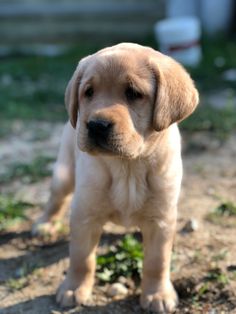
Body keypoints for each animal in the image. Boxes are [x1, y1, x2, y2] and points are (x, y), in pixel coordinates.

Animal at [34, 43, 198, 312]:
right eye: (88, 92)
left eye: (133, 93)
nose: (96, 125)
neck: (128, 166)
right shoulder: (84, 215)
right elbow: (81, 258)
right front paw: (73, 288)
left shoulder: (162, 220)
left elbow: (157, 262)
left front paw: (157, 295)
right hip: (64, 173)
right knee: (55, 199)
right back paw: (45, 224)